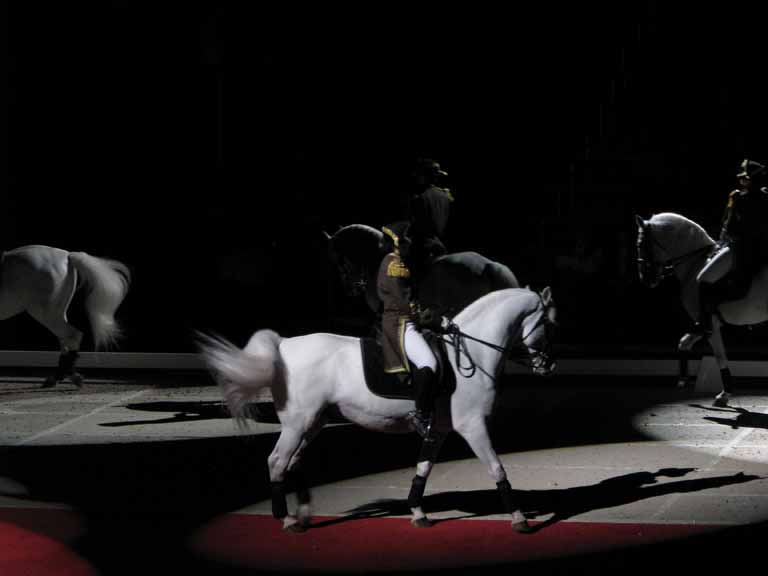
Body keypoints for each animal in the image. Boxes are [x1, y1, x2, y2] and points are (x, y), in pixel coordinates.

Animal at [0, 244, 130, 388]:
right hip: (57, 312)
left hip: (44, 313)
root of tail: (67, 255)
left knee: (72, 336)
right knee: (64, 340)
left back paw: (65, 377)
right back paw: (62, 377)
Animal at [201, 288, 556, 536]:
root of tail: (284, 344)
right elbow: (497, 469)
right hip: (298, 422)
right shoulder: (473, 426)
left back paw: (303, 514)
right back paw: (287, 520)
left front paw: (418, 514)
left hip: (312, 422)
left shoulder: (440, 429)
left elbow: (423, 470)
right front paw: (520, 520)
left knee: (293, 460)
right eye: (549, 323)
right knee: (277, 461)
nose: (548, 366)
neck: (471, 353)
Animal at [636, 214, 768, 408]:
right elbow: (683, 342)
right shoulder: (703, 324)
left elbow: (720, 356)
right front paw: (683, 379)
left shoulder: (709, 324)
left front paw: (724, 395)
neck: (695, 263)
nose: (646, 279)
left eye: (640, 244)